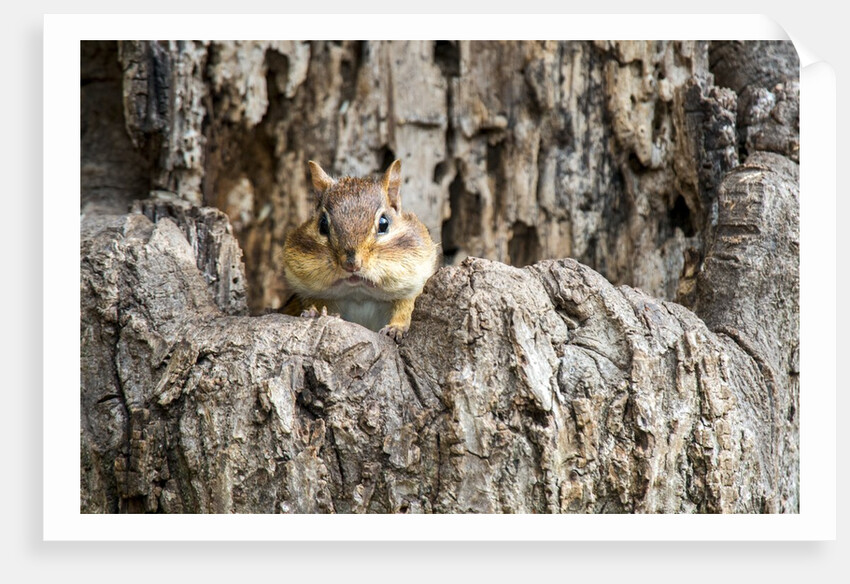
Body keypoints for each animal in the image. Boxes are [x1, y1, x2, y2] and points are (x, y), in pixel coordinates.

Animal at [282, 159, 438, 341]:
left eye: (384, 223)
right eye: (322, 225)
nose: (351, 265)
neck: (359, 295)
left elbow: (406, 309)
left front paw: (396, 328)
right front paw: (316, 313)